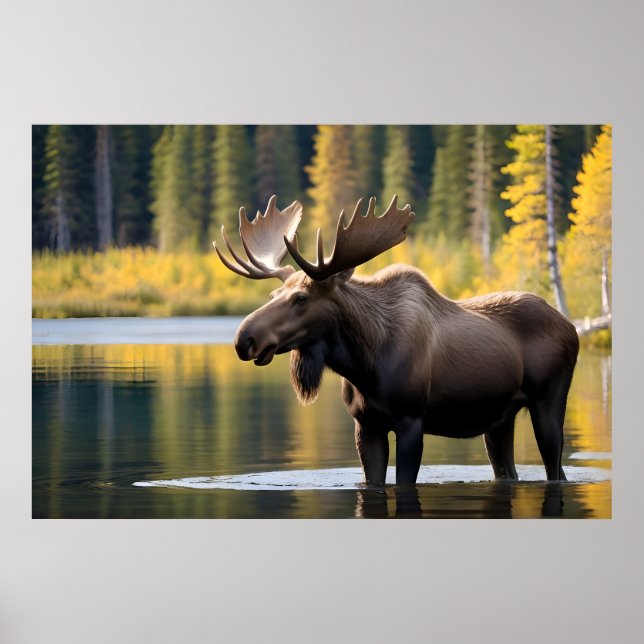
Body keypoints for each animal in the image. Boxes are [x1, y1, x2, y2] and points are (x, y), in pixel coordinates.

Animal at [213, 195, 579, 486]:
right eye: (274, 295)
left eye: (301, 298)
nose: (244, 338)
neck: (363, 364)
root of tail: (571, 326)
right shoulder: (366, 425)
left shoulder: (411, 420)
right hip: (499, 418)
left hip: (548, 401)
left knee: (555, 469)